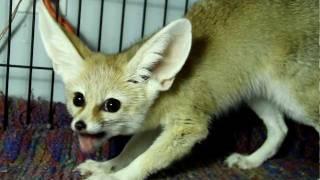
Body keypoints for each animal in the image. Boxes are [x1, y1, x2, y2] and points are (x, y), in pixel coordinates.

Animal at [38, 0, 318, 179]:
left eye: (111, 105)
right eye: (78, 99)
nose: (79, 125)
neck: (169, 88)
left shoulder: (188, 126)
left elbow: (144, 161)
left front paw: (113, 178)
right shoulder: (153, 127)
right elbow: (130, 152)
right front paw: (107, 166)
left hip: (296, 102)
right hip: (258, 96)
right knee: (280, 129)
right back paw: (251, 161)